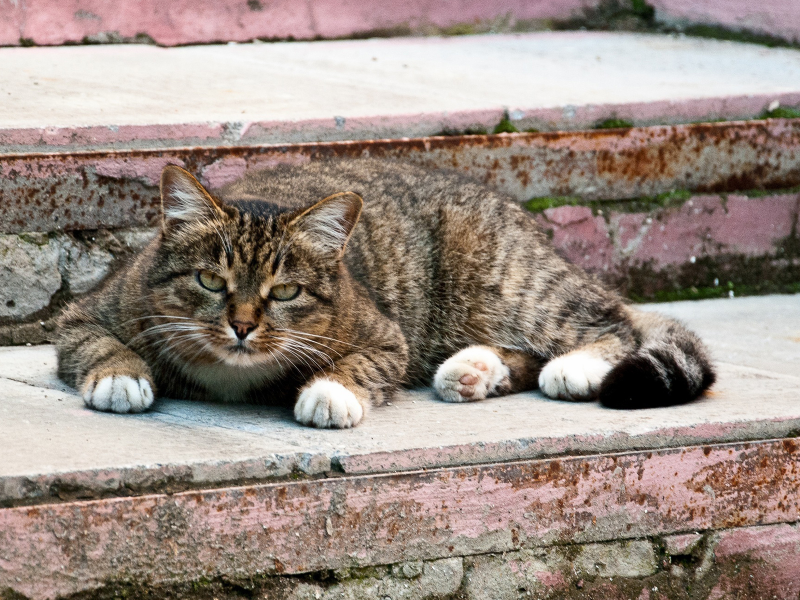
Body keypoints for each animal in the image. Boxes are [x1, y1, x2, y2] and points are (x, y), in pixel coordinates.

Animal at [57, 159, 720, 426]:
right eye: (210, 281)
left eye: (287, 291)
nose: (242, 325)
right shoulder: (85, 312)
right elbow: (96, 343)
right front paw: (121, 376)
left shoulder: (385, 337)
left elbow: (362, 366)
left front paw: (330, 393)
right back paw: (474, 370)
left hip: (506, 281)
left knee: (613, 323)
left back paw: (572, 367)